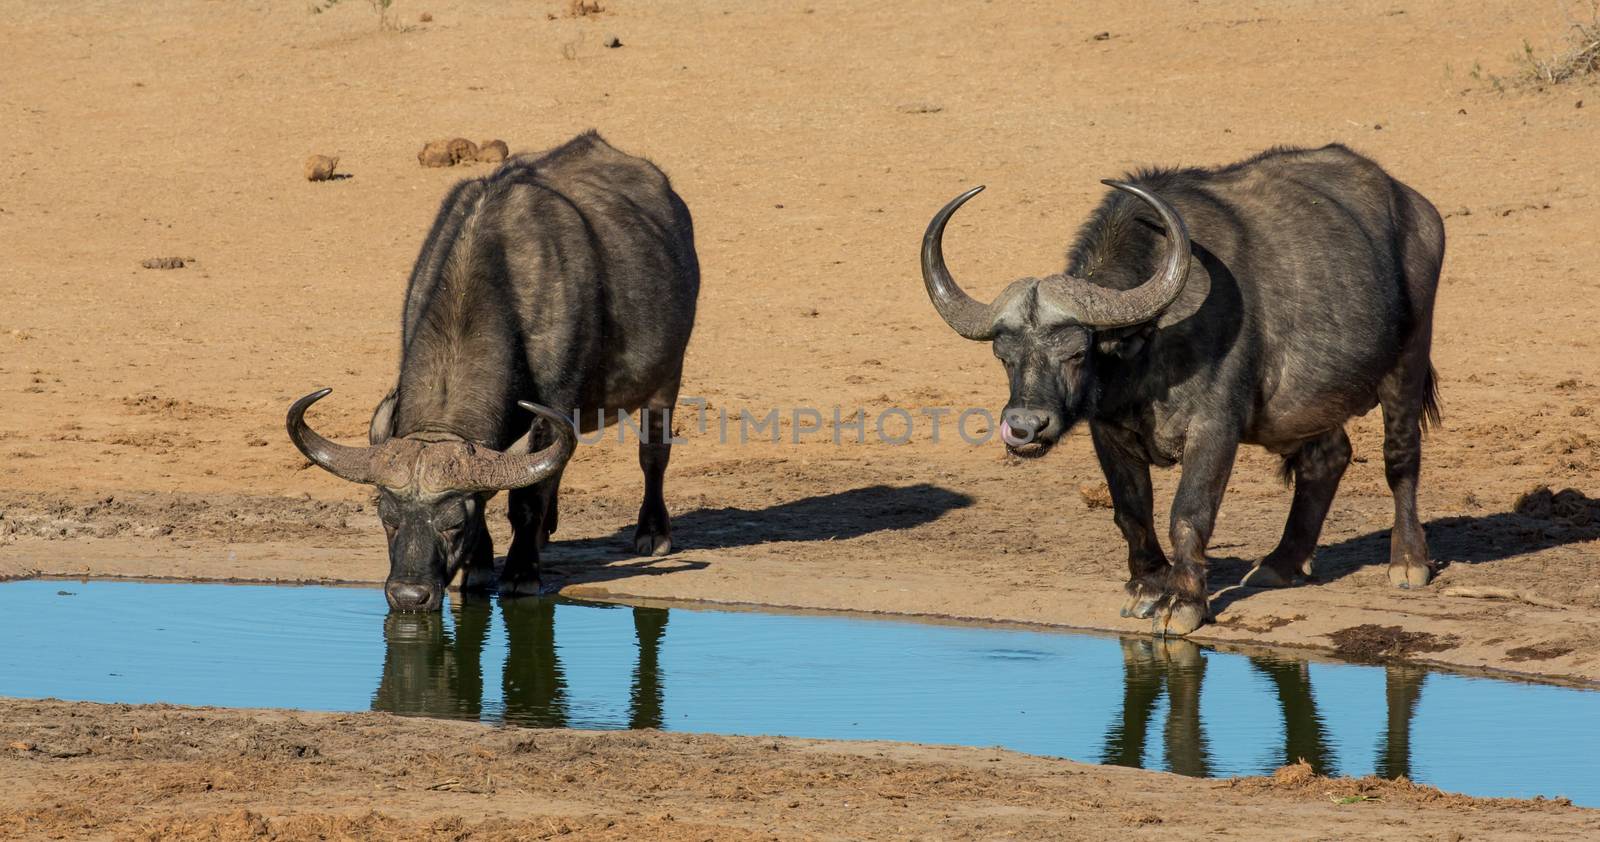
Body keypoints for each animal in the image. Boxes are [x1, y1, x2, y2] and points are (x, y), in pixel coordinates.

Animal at [289, 135, 700, 617]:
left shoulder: (554, 406)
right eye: (386, 517)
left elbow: (526, 499)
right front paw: (479, 568)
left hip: (667, 377)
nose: (409, 595)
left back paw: (652, 532)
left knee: (652, 454)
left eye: (453, 523)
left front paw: (521, 572)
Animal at [921, 145, 1446, 637]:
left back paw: (1408, 561)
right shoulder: (1108, 431)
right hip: (1304, 407)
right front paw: (1146, 587)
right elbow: (1132, 511)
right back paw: (1280, 563)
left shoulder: (1215, 428)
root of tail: (1418, 208)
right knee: (1327, 458)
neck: (1147, 346)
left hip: (1408, 357)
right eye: (1003, 355)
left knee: (1400, 454)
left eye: (1075, 352)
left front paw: (1183, 602)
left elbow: (1189, 513)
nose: (1025, 427)